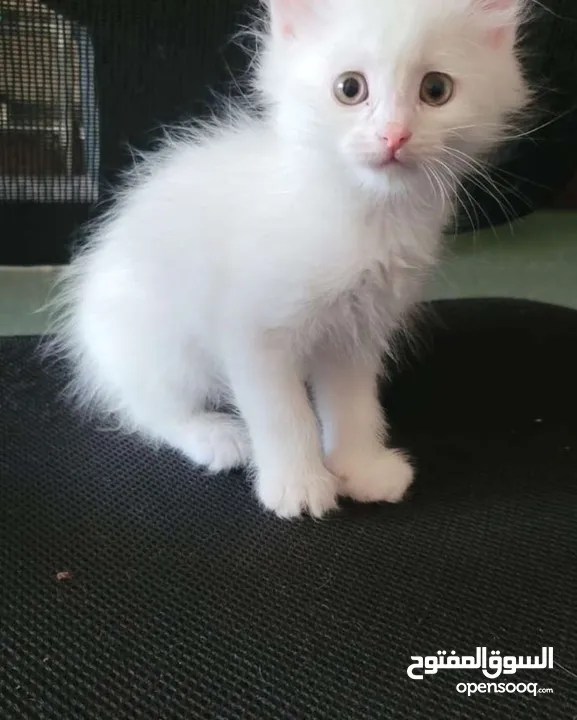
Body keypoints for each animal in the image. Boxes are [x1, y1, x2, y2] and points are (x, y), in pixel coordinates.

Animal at [49, 0, 528, 516]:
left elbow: (354, 405)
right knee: (149, 408)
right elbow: (282, 413)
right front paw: (298, 484)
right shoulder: (252, 333)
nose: (394, 136)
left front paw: (361, 467)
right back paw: (213, 435)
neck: (365, 214)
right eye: (350, 88)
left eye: (436, 89)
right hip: (162, 345)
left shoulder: (357, 333)